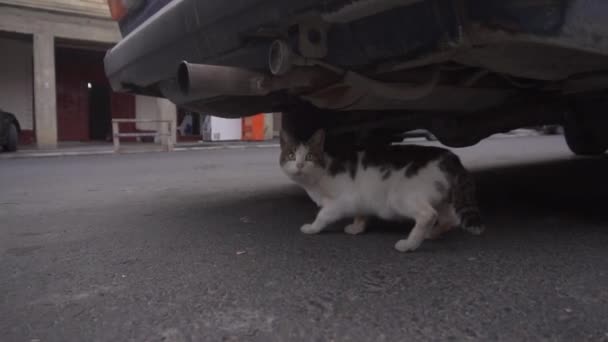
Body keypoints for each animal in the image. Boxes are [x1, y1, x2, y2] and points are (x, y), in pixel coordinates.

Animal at [280, 130, 484, 252]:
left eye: (309, 156)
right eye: (291, 155)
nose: (299, 165)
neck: (319, 175)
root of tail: (450, 156)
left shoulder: (342, 201)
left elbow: (323, 215)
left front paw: (312, 228)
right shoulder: (360, 198)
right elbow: (361, 213)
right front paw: (357, 228)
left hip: (399, 197)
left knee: (428, 215)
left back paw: (409, 244)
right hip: (440, 198)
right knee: (450, 219)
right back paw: (431, 234)